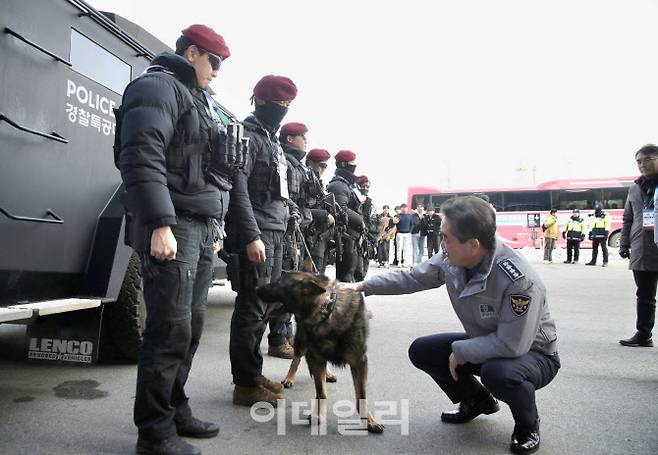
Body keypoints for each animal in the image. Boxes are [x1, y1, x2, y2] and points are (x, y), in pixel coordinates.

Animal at [254, 272, 382, 432]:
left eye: (278, 283)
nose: (256, 289)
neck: (326, 311)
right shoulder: (314, 357)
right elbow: (321, 391)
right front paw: (318, 414)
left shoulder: (359, 362)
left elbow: (362, 395)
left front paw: (369, 420)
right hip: (302, 342)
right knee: (296, 359)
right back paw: (290, 378)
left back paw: (327, 373)